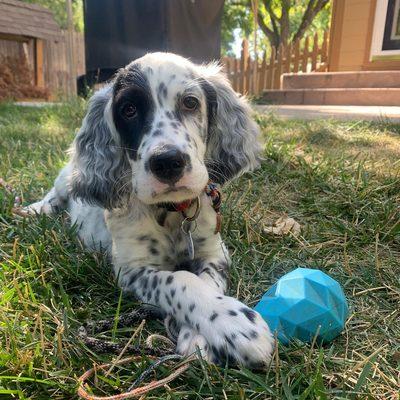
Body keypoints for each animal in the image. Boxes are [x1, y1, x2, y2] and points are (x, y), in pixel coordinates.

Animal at [25, 53, 276, 368]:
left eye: (190, 102)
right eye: (129, 109)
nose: (167, 162)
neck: (172, 213)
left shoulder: (215, 253)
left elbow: (205, 281)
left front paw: (200, 334)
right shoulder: (131, 270)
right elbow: (179, 280)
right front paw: (237, 325)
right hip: (65, 179)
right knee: (54, 195)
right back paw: (34, 209)